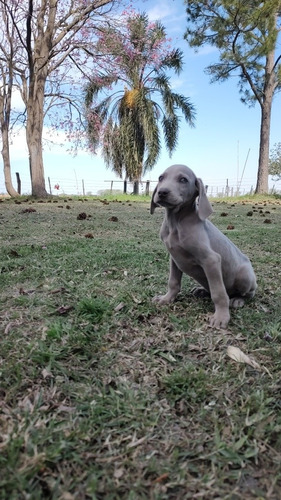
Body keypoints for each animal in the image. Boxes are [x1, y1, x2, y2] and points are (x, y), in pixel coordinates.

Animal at [151, 164, 256, 328]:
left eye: (183, 180)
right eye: (161, 178)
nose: (162, 192)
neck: (176, 222)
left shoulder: (211, 260)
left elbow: (218, 293)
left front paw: (221, 317)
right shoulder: (174, 257)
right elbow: (173, 282)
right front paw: (166, 299)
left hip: (246, 276)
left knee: (247, 293)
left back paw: (238, 300)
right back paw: (201, 290)